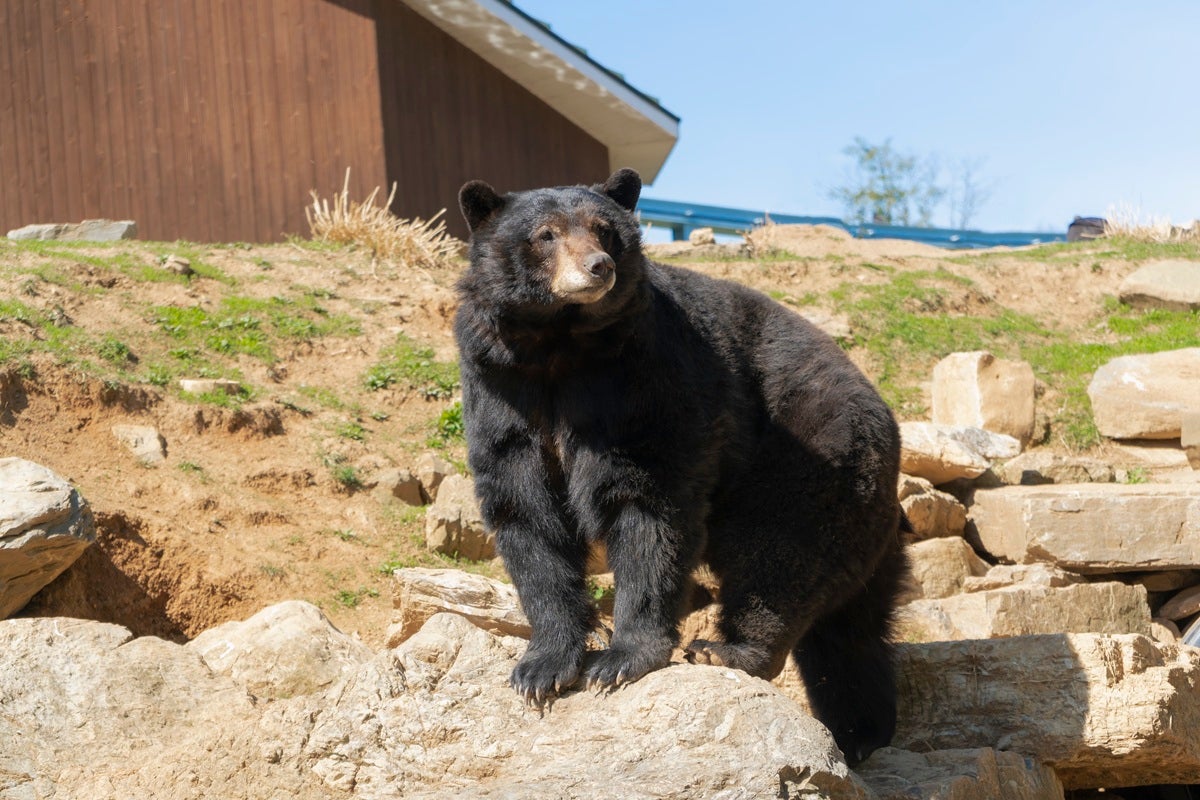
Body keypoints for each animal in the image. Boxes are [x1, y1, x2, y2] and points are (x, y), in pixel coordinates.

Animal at [453, 168, 908, 765]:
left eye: (604, 229)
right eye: (546, 234)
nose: (598, 267)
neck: (561, 344)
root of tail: (889, 423)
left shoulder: (645, 379)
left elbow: (651, 504)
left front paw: (620, 660)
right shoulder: (500, 383)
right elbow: (526, 511)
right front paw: (541, 669)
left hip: (809, 457)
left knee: (782, 553)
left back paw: (729, 650)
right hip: (865, 521)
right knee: (850, 632)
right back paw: (863, 733)